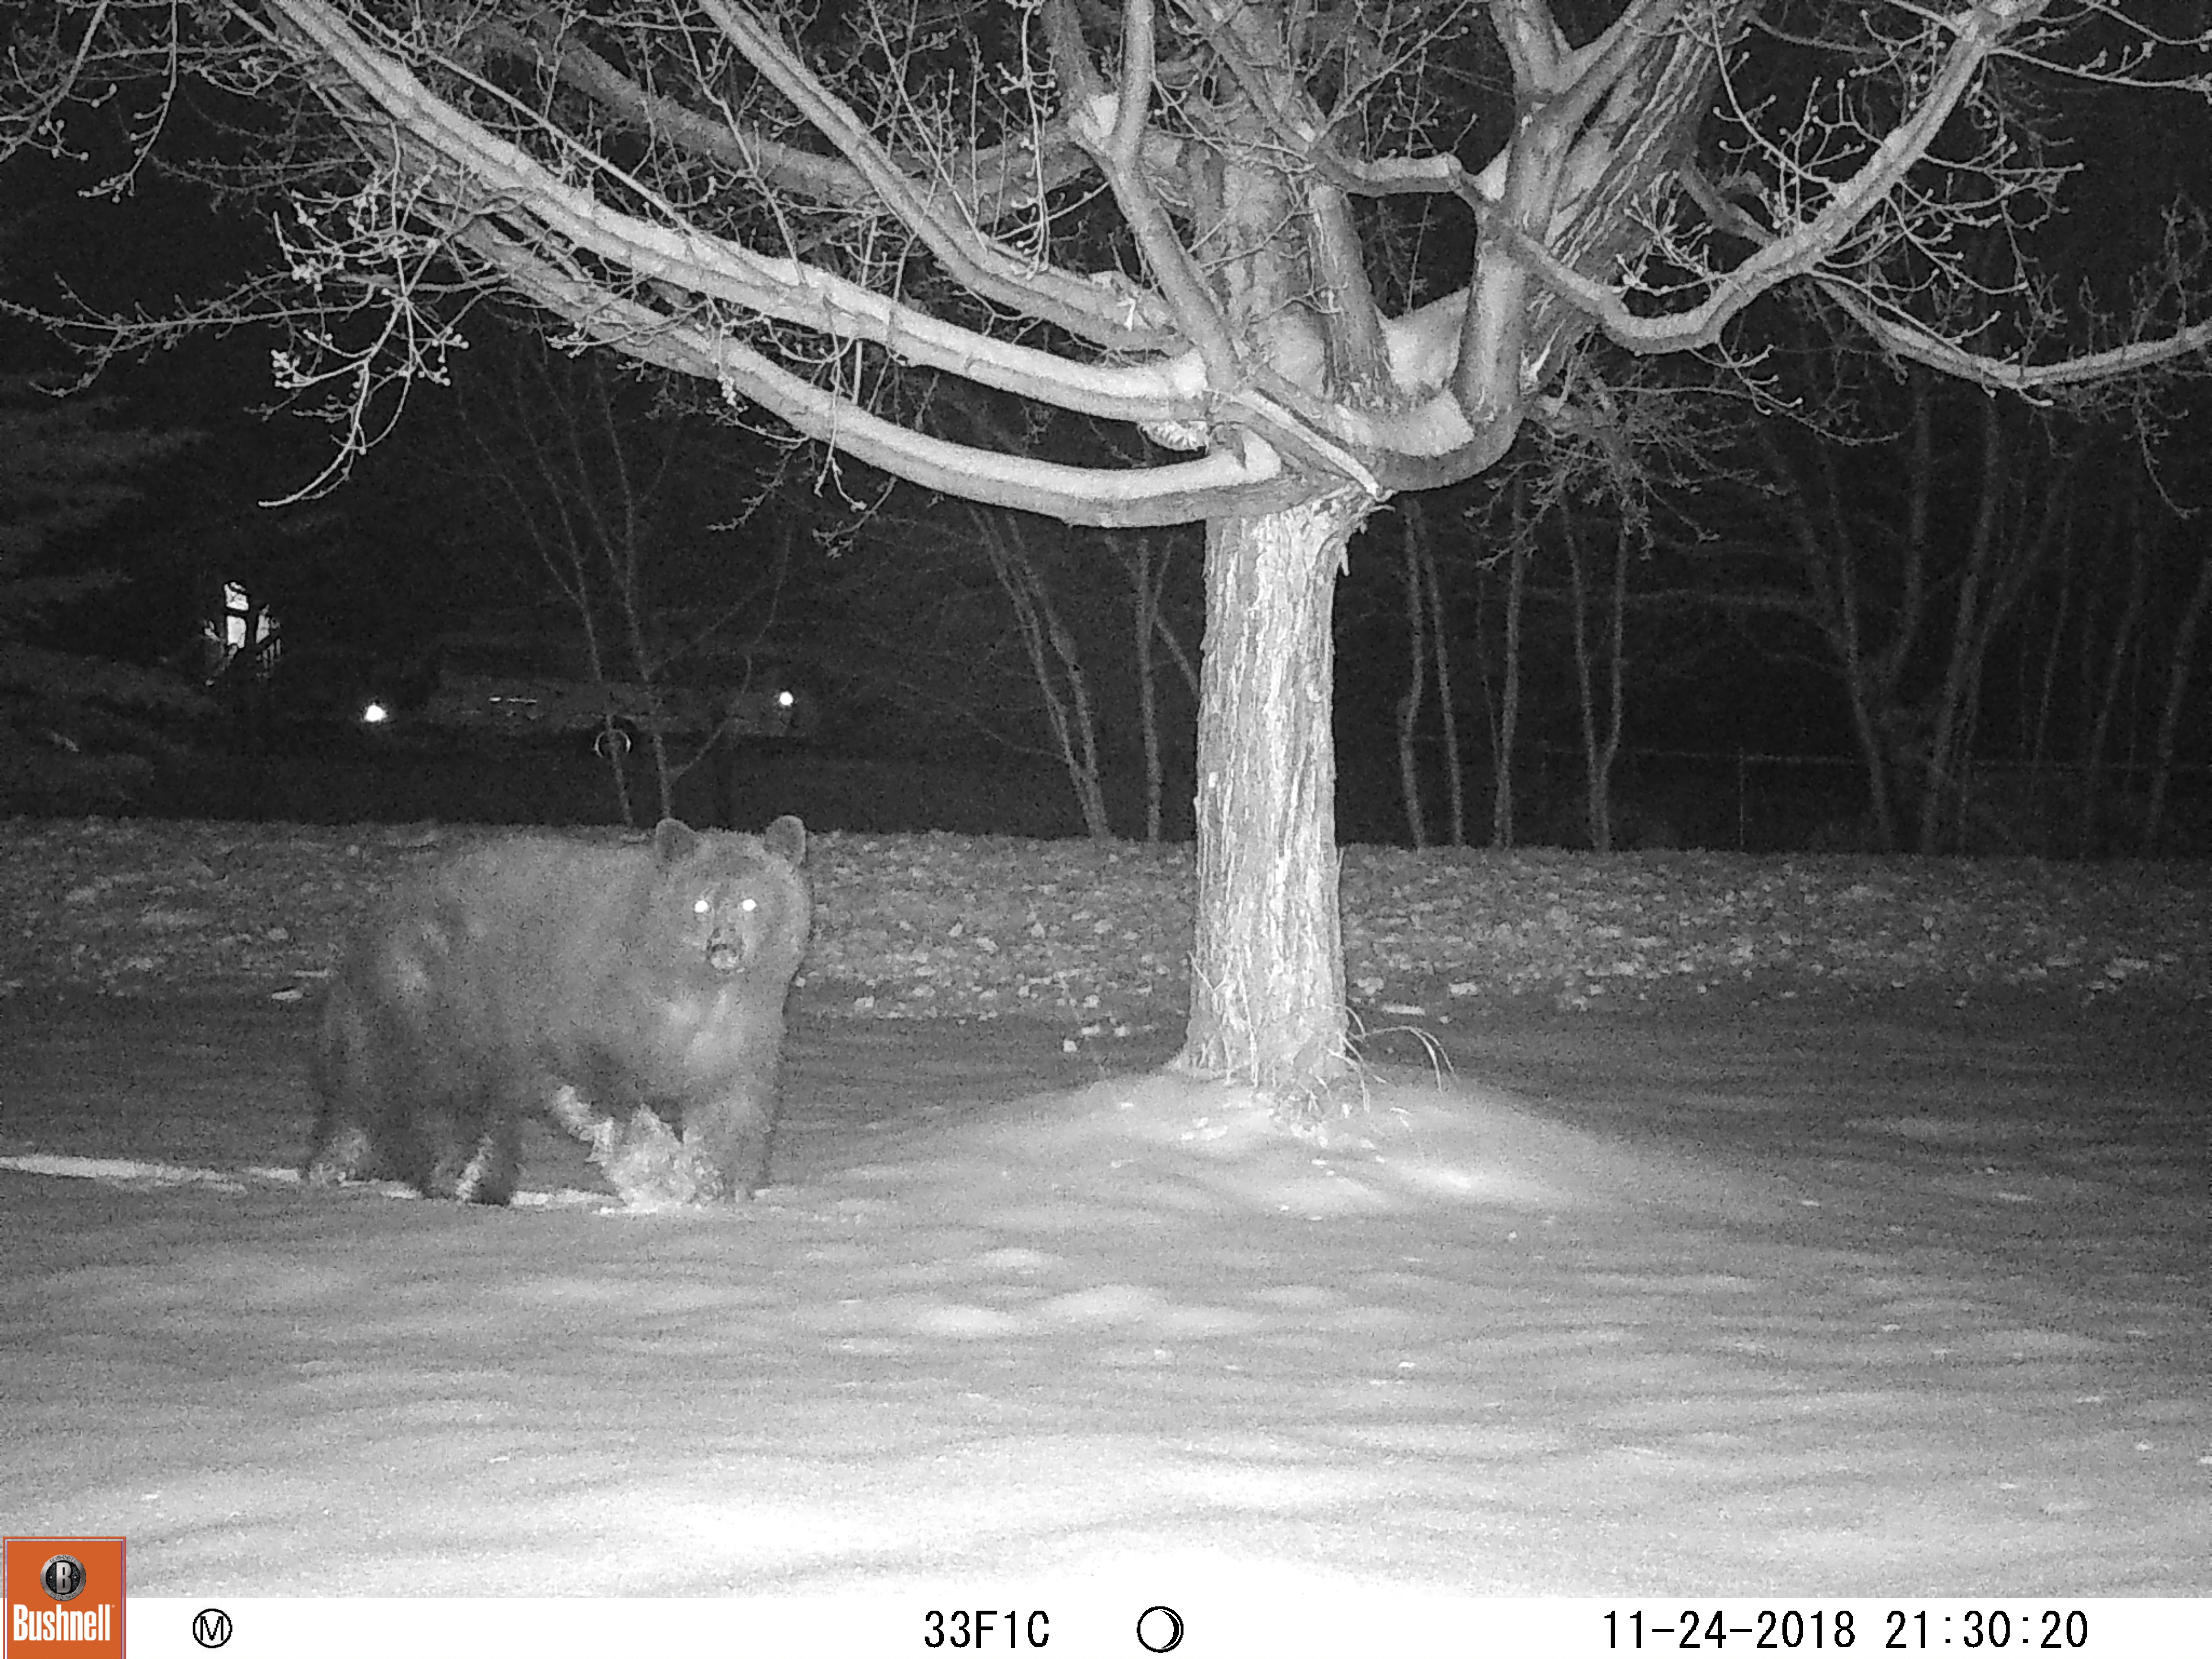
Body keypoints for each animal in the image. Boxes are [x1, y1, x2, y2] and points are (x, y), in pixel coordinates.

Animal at [305, 815, 811, 1206]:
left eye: (752, 901)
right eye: (700, 903)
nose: (724, 949)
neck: (701, 992)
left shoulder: (740, 1033)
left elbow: (732, 1109)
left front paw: (721, 1185)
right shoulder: (592, 1015)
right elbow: (612, 1104)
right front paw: (669, 1182)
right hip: (438, 1002)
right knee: (431, 1103)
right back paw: (451, 1180)